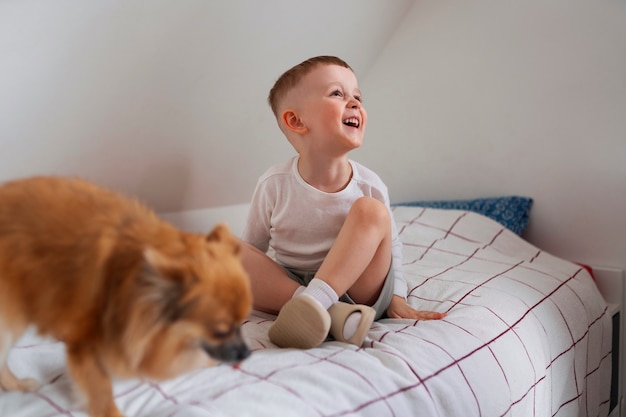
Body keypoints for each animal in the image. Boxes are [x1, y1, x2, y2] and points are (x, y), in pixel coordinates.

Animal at [1, 176, 254, 416]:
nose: (247, 353)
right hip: (9, 320)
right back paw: (18, 385)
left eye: (243, 323)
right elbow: (101, 388)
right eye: (219, 332)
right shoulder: (85, 345)